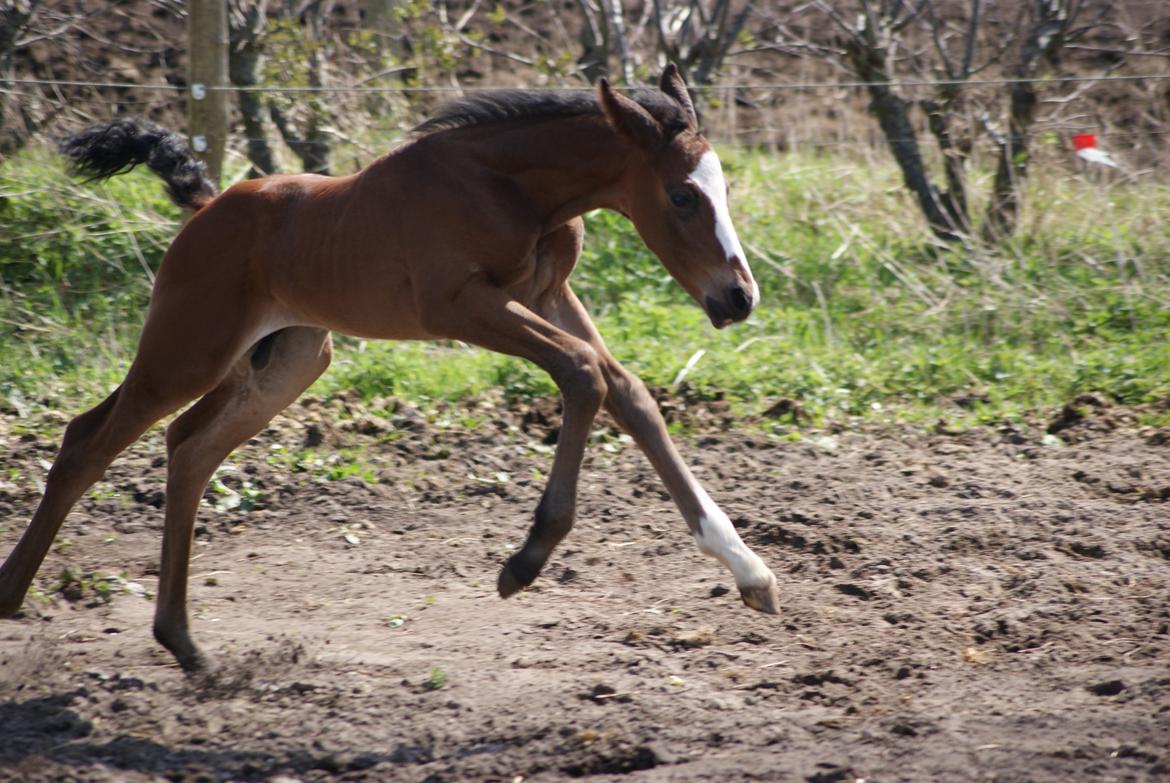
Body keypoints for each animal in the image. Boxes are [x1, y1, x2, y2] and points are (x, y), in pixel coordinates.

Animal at [6, 64, 786, 669]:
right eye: (682, 194)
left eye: (722, 189)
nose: (738, 297)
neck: (508, 185)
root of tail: (206, 206)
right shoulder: (459, 306)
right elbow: (583, 374)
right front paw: (524, 561)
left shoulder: (547, 294)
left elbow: (626, 391)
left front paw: (749, 570)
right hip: (187, 349)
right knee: (86, 441)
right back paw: (15, 594)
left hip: (289, 360)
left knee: (189, 447)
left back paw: (184, 643)